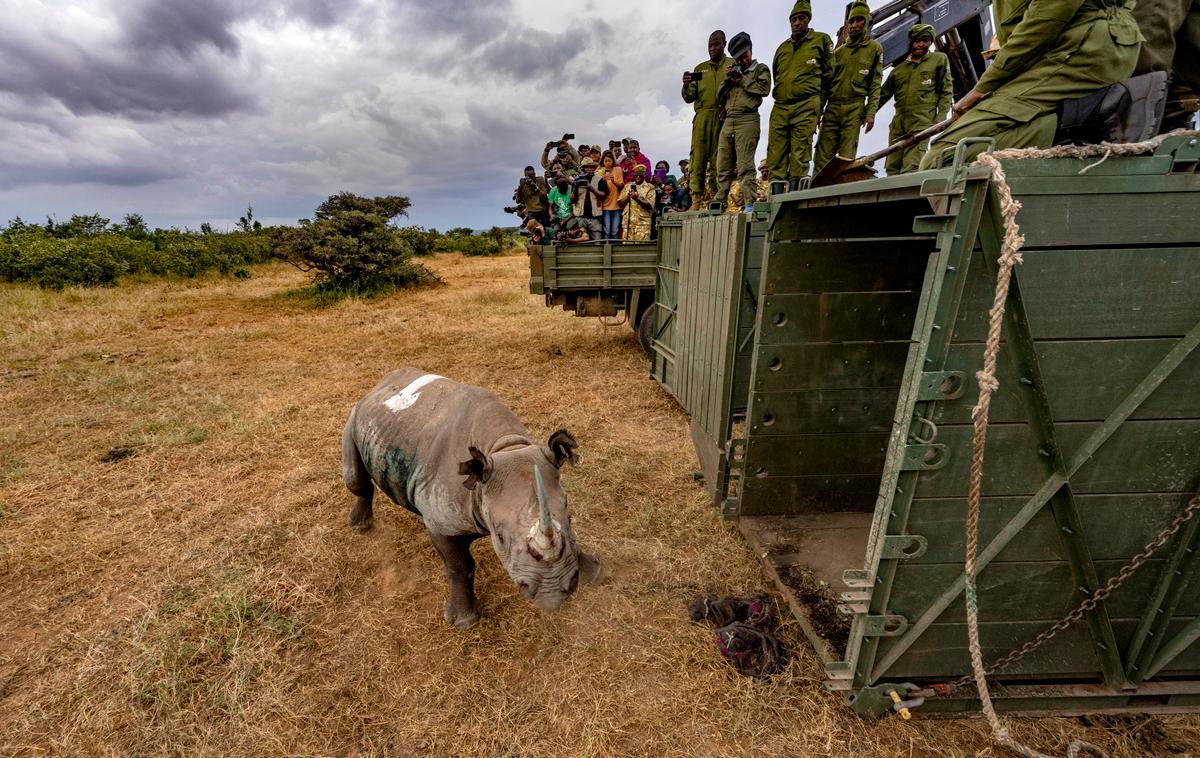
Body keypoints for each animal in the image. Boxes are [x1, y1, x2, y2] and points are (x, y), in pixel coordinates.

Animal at [340, 369, 592, 628]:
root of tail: (380, 384)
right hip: (353, 417)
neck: (504, 446)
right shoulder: (442, 526)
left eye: (570, 518)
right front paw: (465, 622)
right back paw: (360, 526)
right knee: (354, 478)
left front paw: (591, 569)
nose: (554, 595)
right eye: (500, 537)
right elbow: (460, 567)